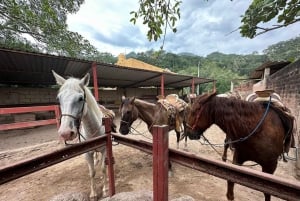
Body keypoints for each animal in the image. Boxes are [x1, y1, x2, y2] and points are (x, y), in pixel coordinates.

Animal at [52, 70, 107, 199]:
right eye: (58, 98)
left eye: (81, 98)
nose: (66, 133)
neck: (93, 130)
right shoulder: (87, 153)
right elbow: (92, 172)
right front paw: (93, 194)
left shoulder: (104, 149)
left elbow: (103, 169)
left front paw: (105, 190)